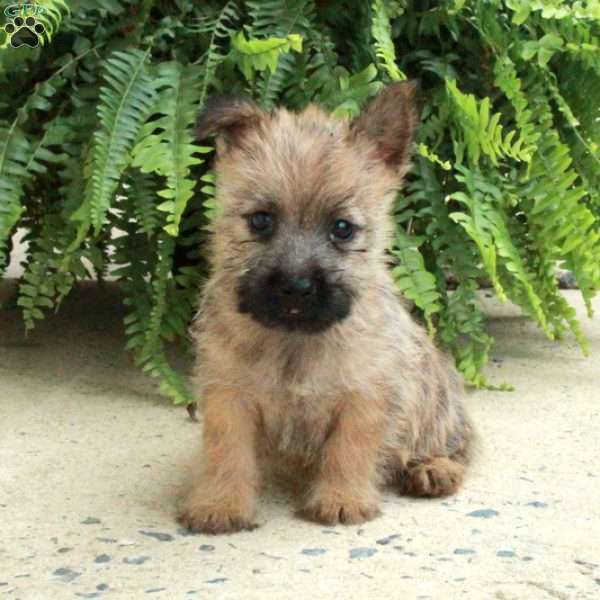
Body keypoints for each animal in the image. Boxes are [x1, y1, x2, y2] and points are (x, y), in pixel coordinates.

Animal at [178, 81, 474, 536]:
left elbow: (348, 448)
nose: (296, 288)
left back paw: (433, 469)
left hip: (438, 406)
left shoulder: (364, 398)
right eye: (261, 220)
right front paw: (220, 503)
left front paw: (341, 498)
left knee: (456, 444)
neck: (294, 341)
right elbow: (227, 450)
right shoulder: (230, 395)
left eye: (342, 229)